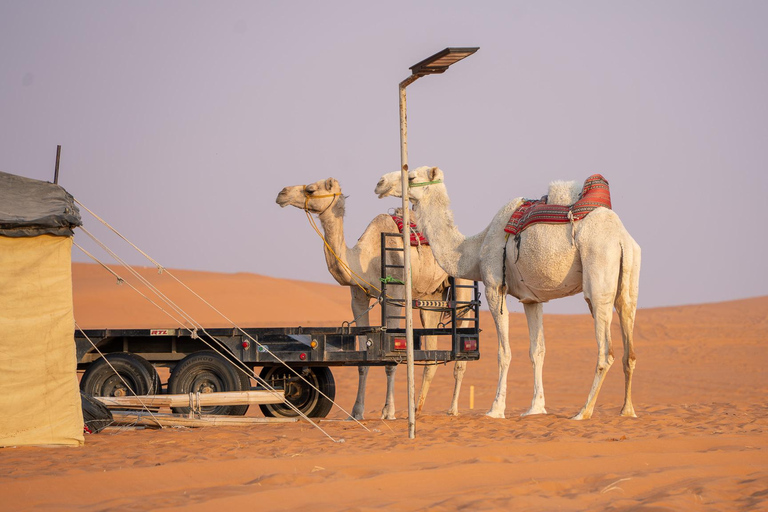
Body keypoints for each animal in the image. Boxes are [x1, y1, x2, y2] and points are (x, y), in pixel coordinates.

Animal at [276, 177, 472, 420]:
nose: (282, 193)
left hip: (462, 291)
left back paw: (452, 409)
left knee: (462, 349)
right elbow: (363, 360)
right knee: (431, 356)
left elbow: (391, 358)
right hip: (431, 298)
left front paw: (388, 411)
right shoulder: (358, 297)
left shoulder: (395, 296)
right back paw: (417, 409)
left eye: (311, 189)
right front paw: (356, 411)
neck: (366, 258)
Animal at [375, 167, 641, 420]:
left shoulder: (495, 286)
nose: (380, 183)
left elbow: (504, 352)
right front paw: (536, 408)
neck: (474, 249)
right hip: (629, 280)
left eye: (411, 176)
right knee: (628, 343)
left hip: (598, 273)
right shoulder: (532, 299)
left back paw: (583, 412)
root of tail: (621, 239)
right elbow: (537, 351)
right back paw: (627, 410)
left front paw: (496, 409)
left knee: (606, 351)